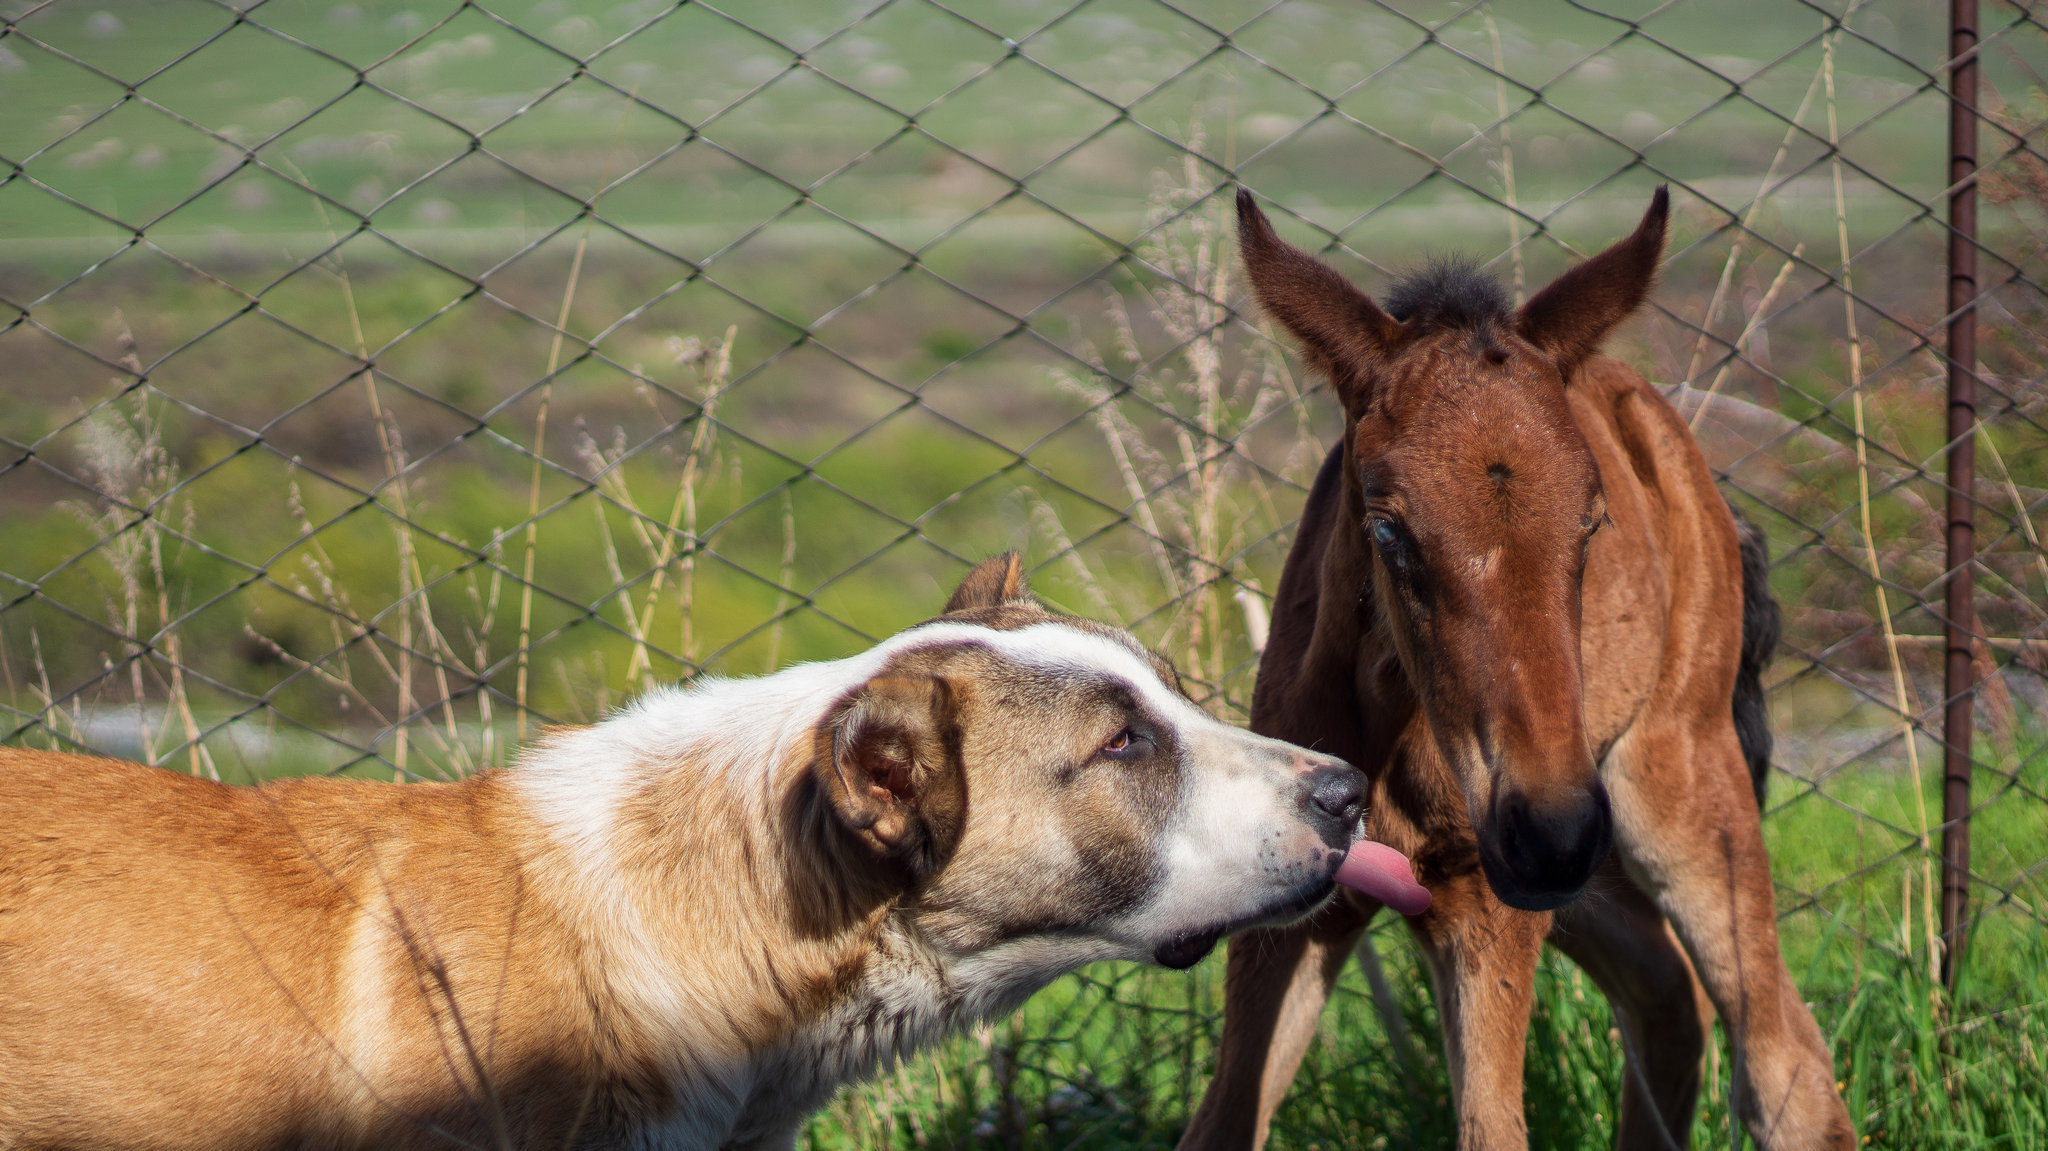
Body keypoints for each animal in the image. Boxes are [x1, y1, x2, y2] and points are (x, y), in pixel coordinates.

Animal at [1171, 190, 1859, 1146]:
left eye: (1591, 519)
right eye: (1387, 528)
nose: (1548, 830)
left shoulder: (1484, 898)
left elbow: (1490, 1128)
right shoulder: (1302, 899)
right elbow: (1225, 1119)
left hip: (1671, 783)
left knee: (1780, 1057)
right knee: (1668, 994)